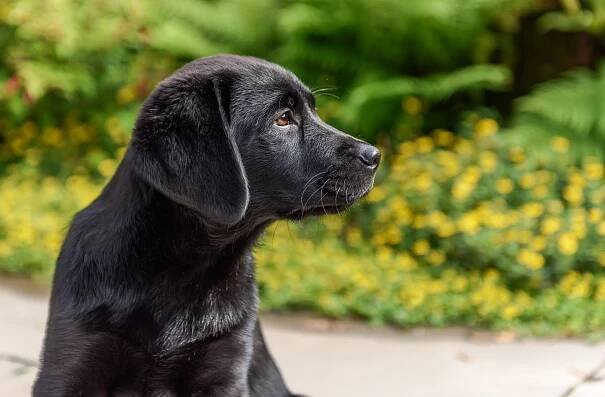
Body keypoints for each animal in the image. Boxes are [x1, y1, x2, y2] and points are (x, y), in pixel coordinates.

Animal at [33, 55, 380, 396]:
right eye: (283, 119)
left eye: (313, 111)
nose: (374, 155)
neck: (183, 269)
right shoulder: (72, 363)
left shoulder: (226, 368)